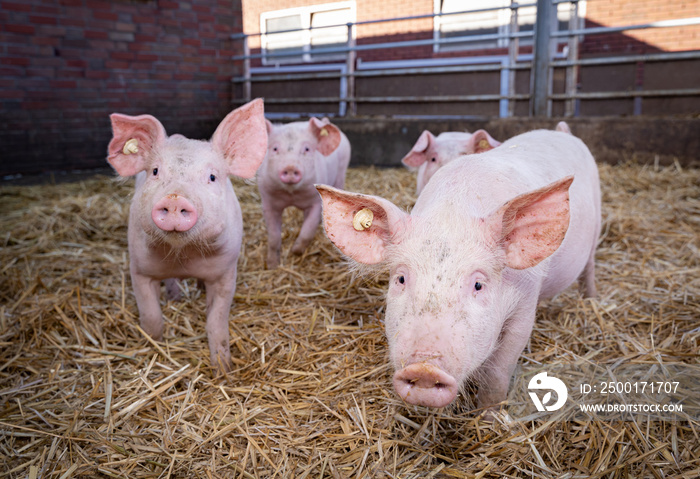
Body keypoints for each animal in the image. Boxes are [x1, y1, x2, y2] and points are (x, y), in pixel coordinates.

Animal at [108, 98, 270, 376]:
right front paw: (153, 348)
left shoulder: (226, 272)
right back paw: (175, 297)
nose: (175, 199)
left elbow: (216, 322)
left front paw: (223, 370)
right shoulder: (139, 268)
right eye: (155, 171)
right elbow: (151, 318)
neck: (184, 255)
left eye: (212, 176)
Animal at [258, 115, 350, 268]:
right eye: (275, 148)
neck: (292, 195)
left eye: (307, 149)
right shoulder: (268, 201)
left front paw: (295, 252)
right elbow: (273, 236)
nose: (290, 167)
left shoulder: (316, 202)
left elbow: (308, 230)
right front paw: (272, 265)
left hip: (342, 172)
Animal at [318, 125, 600, 410]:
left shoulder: (525, 303)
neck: (452, 214)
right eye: (400, 279)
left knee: (590, 266)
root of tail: (561, 131)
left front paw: (488, 413)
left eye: (478, 284)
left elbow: (499, 369)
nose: (424, 369)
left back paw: (591, 299)